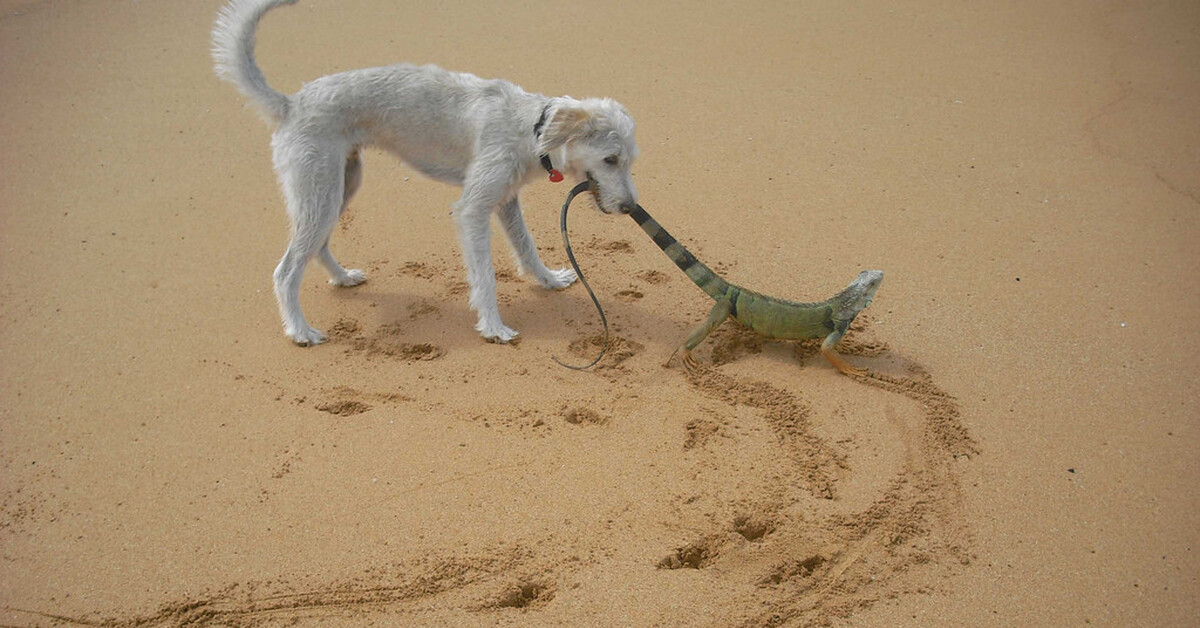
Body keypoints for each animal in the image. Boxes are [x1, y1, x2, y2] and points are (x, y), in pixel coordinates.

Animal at [211, 0, 638, 345]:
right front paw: (493, 327)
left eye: (629, 161)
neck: (530, 126)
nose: (631, 208)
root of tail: (290, 104)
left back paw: (343, 278)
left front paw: (549, 280)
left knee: (316, 247)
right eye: (610, 160)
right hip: (319, 192)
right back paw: (300, 331)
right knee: (286, 271)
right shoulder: (472, 209)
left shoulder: (505, 201)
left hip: (340, 186)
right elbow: (485, 275)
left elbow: (526, 247)